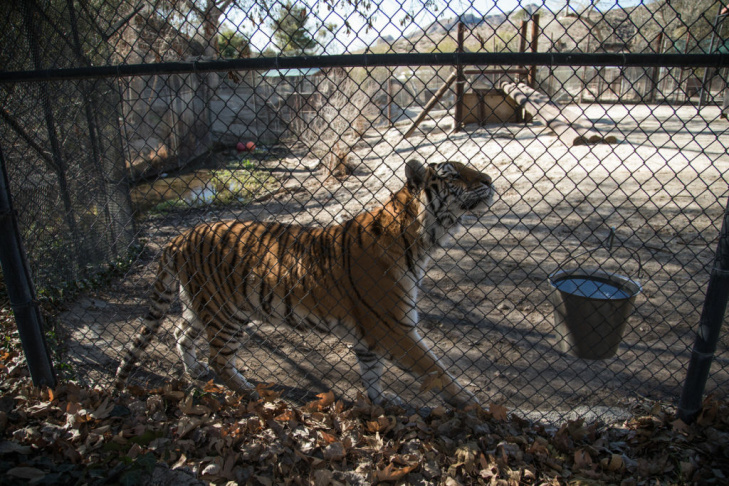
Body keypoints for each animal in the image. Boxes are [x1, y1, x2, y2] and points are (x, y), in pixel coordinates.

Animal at [115, 159, 494, 408]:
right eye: (454, 174)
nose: (490, 180)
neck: (423, 238)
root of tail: (180, 237)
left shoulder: (369, 333)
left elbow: (372, 372)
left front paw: (381, 401)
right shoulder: (393, 327)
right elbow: (437, 371)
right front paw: (476, 406)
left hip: (201, 304)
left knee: (180, 332)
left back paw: (194, 370)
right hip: (226, 313)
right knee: (220, 359)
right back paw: (249, 391)